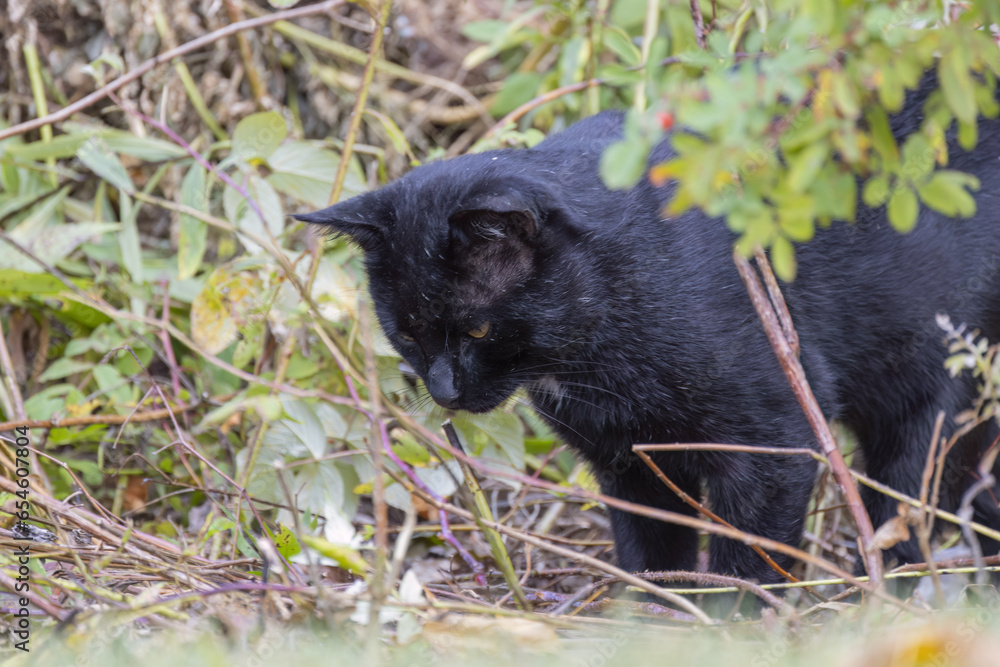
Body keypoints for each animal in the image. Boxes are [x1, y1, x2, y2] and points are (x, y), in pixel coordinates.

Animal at [294, 73, 1000, 584]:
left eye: (476, 331)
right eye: (407, 332)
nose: (442, 389)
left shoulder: (776, 442)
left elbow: (750, 564)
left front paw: (738, 629)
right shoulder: (630, 463)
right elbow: (652, 561)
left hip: (927, 395)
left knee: (906, 506)